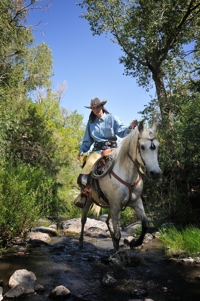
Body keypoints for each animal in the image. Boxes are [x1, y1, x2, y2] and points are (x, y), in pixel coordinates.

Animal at [78, 120, 161, 250]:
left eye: (157, 146)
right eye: (142, 146)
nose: (156, 173)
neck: (127, 175)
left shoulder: (136, 202)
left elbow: (145, 224)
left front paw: (135, 243)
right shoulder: (116, 206)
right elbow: (118, 234)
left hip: (109, 206)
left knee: (107, 221)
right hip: (89, 201)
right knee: (83, 219)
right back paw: (81, 242)